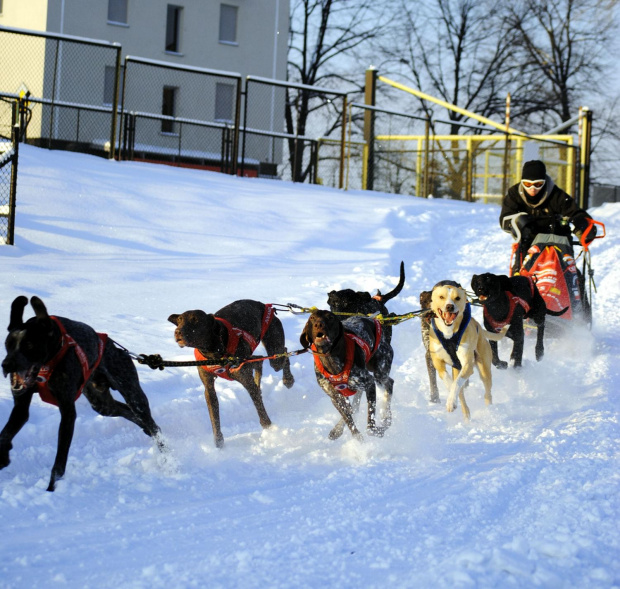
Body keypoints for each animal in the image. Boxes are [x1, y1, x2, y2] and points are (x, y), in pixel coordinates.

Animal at [0, 294, 165, 492]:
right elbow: (5, 435)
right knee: (127, 412)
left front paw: (51, 489)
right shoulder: (21, 406)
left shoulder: (68, 411)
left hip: (133, 395)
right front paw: (2, 456)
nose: (6, 365)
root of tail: (119, 349)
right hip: (101, 403)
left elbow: (59, 462)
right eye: (7, 344)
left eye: (29, 345)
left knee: (150, 423)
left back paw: (165, 457)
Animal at [168, 298, 294, 446]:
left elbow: (260, 410)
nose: (178, 332)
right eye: (180, 320)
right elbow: (214, 419)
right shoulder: (209, 388)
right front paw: (218, 443)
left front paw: (270, 430)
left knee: (283, 353)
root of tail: (265, 306)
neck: (214, 352)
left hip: (274, 354)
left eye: (196, 320)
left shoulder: (246, 380)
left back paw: (288, 379)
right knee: (259, 362)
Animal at [296, 310, 390, 438]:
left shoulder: (369, 383)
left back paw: (387, 418)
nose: (319, 324)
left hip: (379, 374)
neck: (330, 358)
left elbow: (370, 424)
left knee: (389, 384)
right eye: (312, 318)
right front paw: (354, 436)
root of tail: (371, 319)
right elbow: (349, 421)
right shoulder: (335, 397)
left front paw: (375, 431)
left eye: (330, 317)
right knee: (353, 406)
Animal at [428, 280, 506, 418]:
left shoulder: (467, 364)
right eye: (441, 297)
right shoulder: (437, 362)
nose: (449, 306)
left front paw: (451, 400)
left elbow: (457, 383)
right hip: (457, 367)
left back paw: (489, 410)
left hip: (484, 370)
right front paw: (451, 398)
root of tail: (479, 326)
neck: (449, 334)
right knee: (463, 398)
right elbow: (449, 380)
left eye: (457, 298)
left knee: (488, 393)